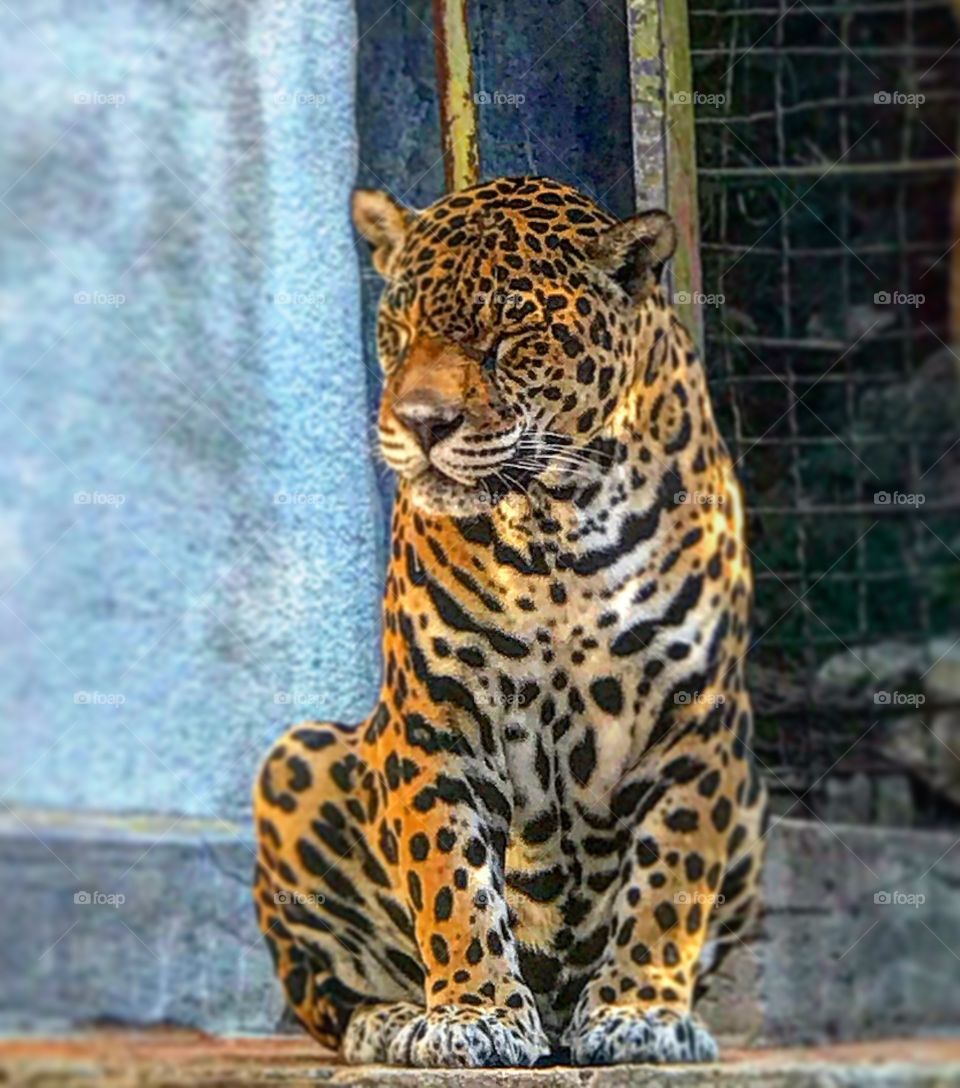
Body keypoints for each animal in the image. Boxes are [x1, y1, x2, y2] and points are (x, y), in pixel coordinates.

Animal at [252, 175, 767, 1069]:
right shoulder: (434, 720)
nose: (421, 422)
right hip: (295, 757)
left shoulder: (699, 720)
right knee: (327, 997)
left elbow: (671, 879)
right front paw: (472, 1015)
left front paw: (639, 1012)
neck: (555, 528)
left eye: (509, 335)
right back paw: (395, 1020)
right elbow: (450, 884)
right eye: (400, 329)